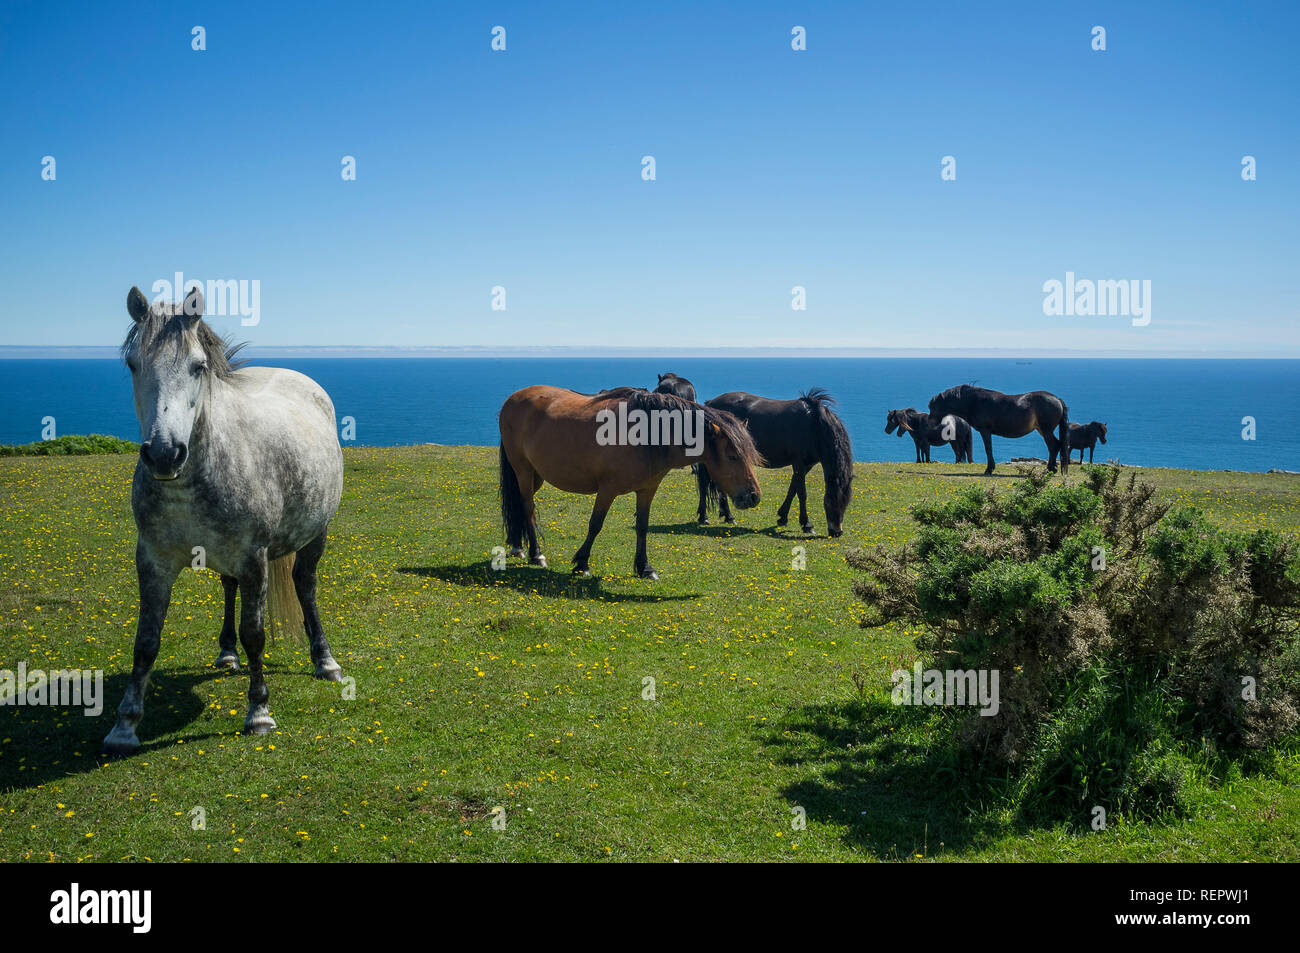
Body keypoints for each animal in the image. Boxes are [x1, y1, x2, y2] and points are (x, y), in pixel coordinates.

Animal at [102, 282, 345, 748]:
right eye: (132, 364)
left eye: (198, 367)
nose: (164, 454)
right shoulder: (152, 561)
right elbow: (146, 640)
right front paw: (124, 724)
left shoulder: (253, 560)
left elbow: (256, 635)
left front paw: (259, 711)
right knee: (228, 587)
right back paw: (227, 652)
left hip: (316, 533)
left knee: (305, 585)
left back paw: (324, 660)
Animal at [496, 382, 759, 577]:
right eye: (732, 456)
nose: (753, 496)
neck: (646, 434)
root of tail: (513, 399)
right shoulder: (607, 490)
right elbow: (595, 524)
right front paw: (582, 563)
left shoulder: (647, 489)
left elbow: (642, 526)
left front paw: (644, 568)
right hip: (523, 470)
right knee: (527, 507)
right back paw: (535, 553)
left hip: (536, 475)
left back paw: (518, 545)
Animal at [930, 382, 1071, 475]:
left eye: (933, 407)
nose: (931, 423)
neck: (974, 402)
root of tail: (1057, 399)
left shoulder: (985, 431)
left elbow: (988, 449)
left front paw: (989, 469)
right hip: (1043, 430)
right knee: (1056, 445)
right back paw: (1051, 468)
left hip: (1046, 430)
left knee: (1053, 446)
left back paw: (1049, 469)